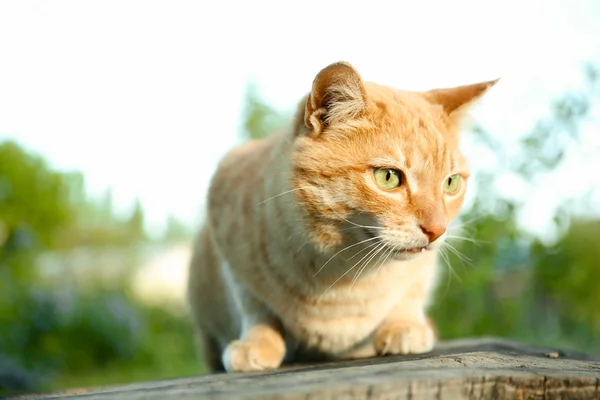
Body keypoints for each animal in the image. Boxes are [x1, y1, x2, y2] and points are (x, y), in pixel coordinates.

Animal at [186, 61, 496, 374]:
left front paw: (405, 327)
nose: (437, 230)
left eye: (451, 183)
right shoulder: (231, 249)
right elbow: (256, 307)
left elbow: (411, 294)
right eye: (388, 177)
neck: (344, 271)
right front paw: (257, 343)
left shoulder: (423, 269)